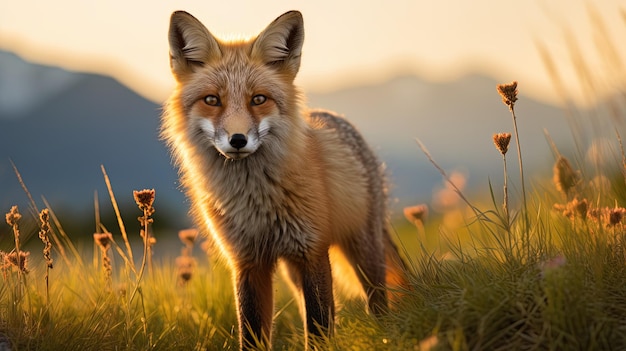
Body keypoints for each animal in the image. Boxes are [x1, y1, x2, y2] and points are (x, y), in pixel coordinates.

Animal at [158, 9, 408, 350]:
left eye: (258, 99)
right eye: (212, 100)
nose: (238, 140)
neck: (254, 200)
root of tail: (335, 117)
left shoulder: (311, 249)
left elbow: (317, 327)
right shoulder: (247, 261)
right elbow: (251, 332)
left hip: (362, 248)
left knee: (377, 300)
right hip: (293, 270)